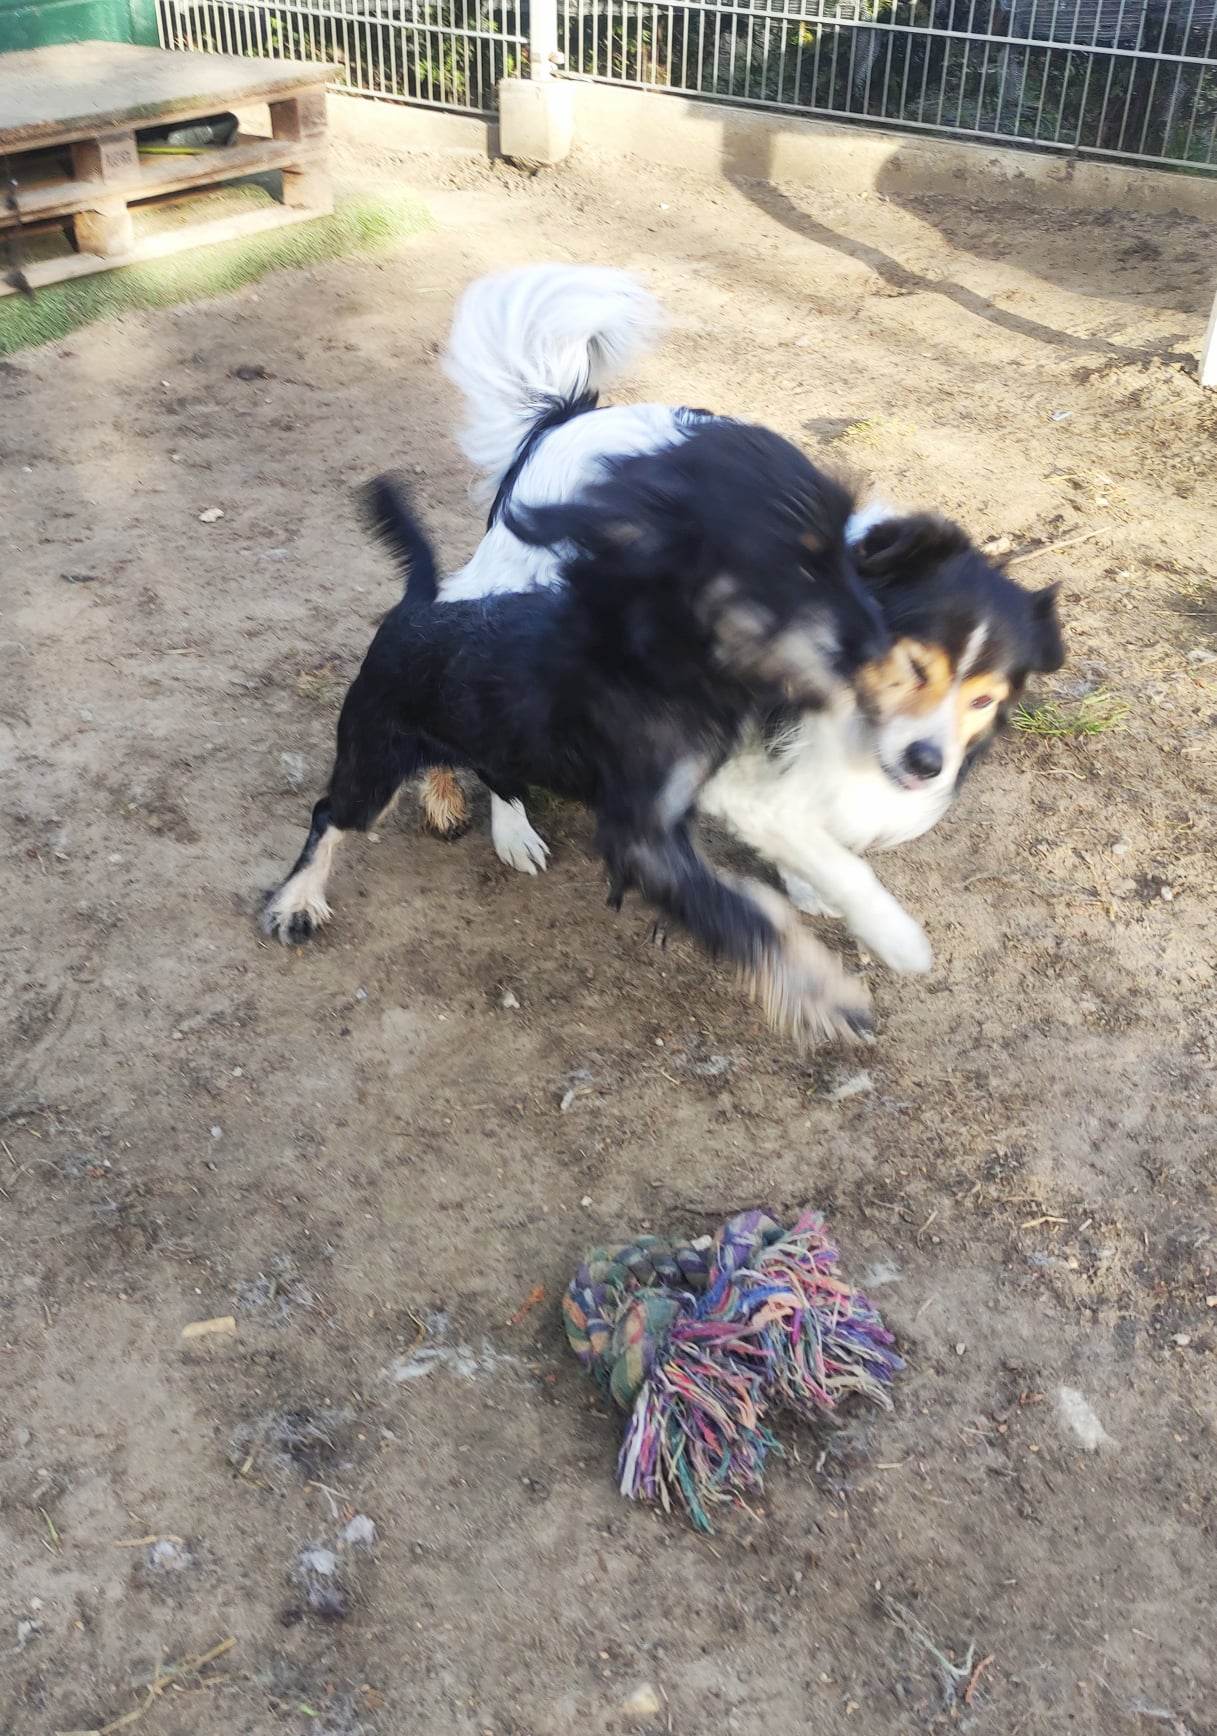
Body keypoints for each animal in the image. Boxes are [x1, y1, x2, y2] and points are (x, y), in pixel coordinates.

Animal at [261, 421, 894, 1043]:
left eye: (851, 557)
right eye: (800, 564)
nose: (883, 653)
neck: (657, 657)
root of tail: (413, 610)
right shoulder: (637, 832)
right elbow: (746, 916)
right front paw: (827, 993)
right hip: (374, 765)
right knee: (328, 814)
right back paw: (298, 899)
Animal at [424, 263, 1066, 975]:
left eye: (984, 700)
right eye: (913, 665)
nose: (928, 764)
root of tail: (566, 418)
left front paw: (806, 884)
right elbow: (820, 846)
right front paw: (891, 933)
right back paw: (509, 824)